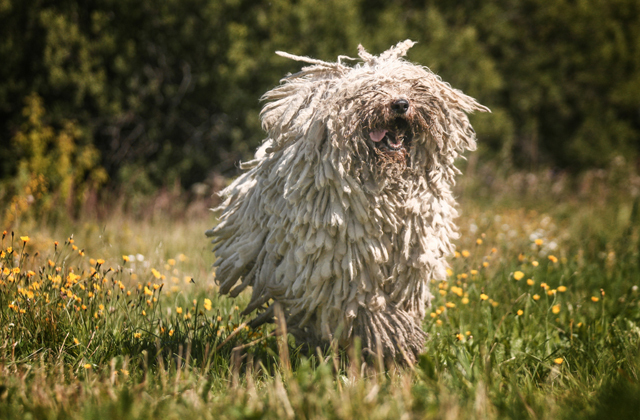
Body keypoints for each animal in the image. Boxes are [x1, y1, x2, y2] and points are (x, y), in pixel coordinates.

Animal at [208, 40, 488, 364]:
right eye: (370, 90)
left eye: (410, 86)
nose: (400, 104)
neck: (385, 189)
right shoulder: (347, 265)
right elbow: (369, 308)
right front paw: (392, 344)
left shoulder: (410, 258)